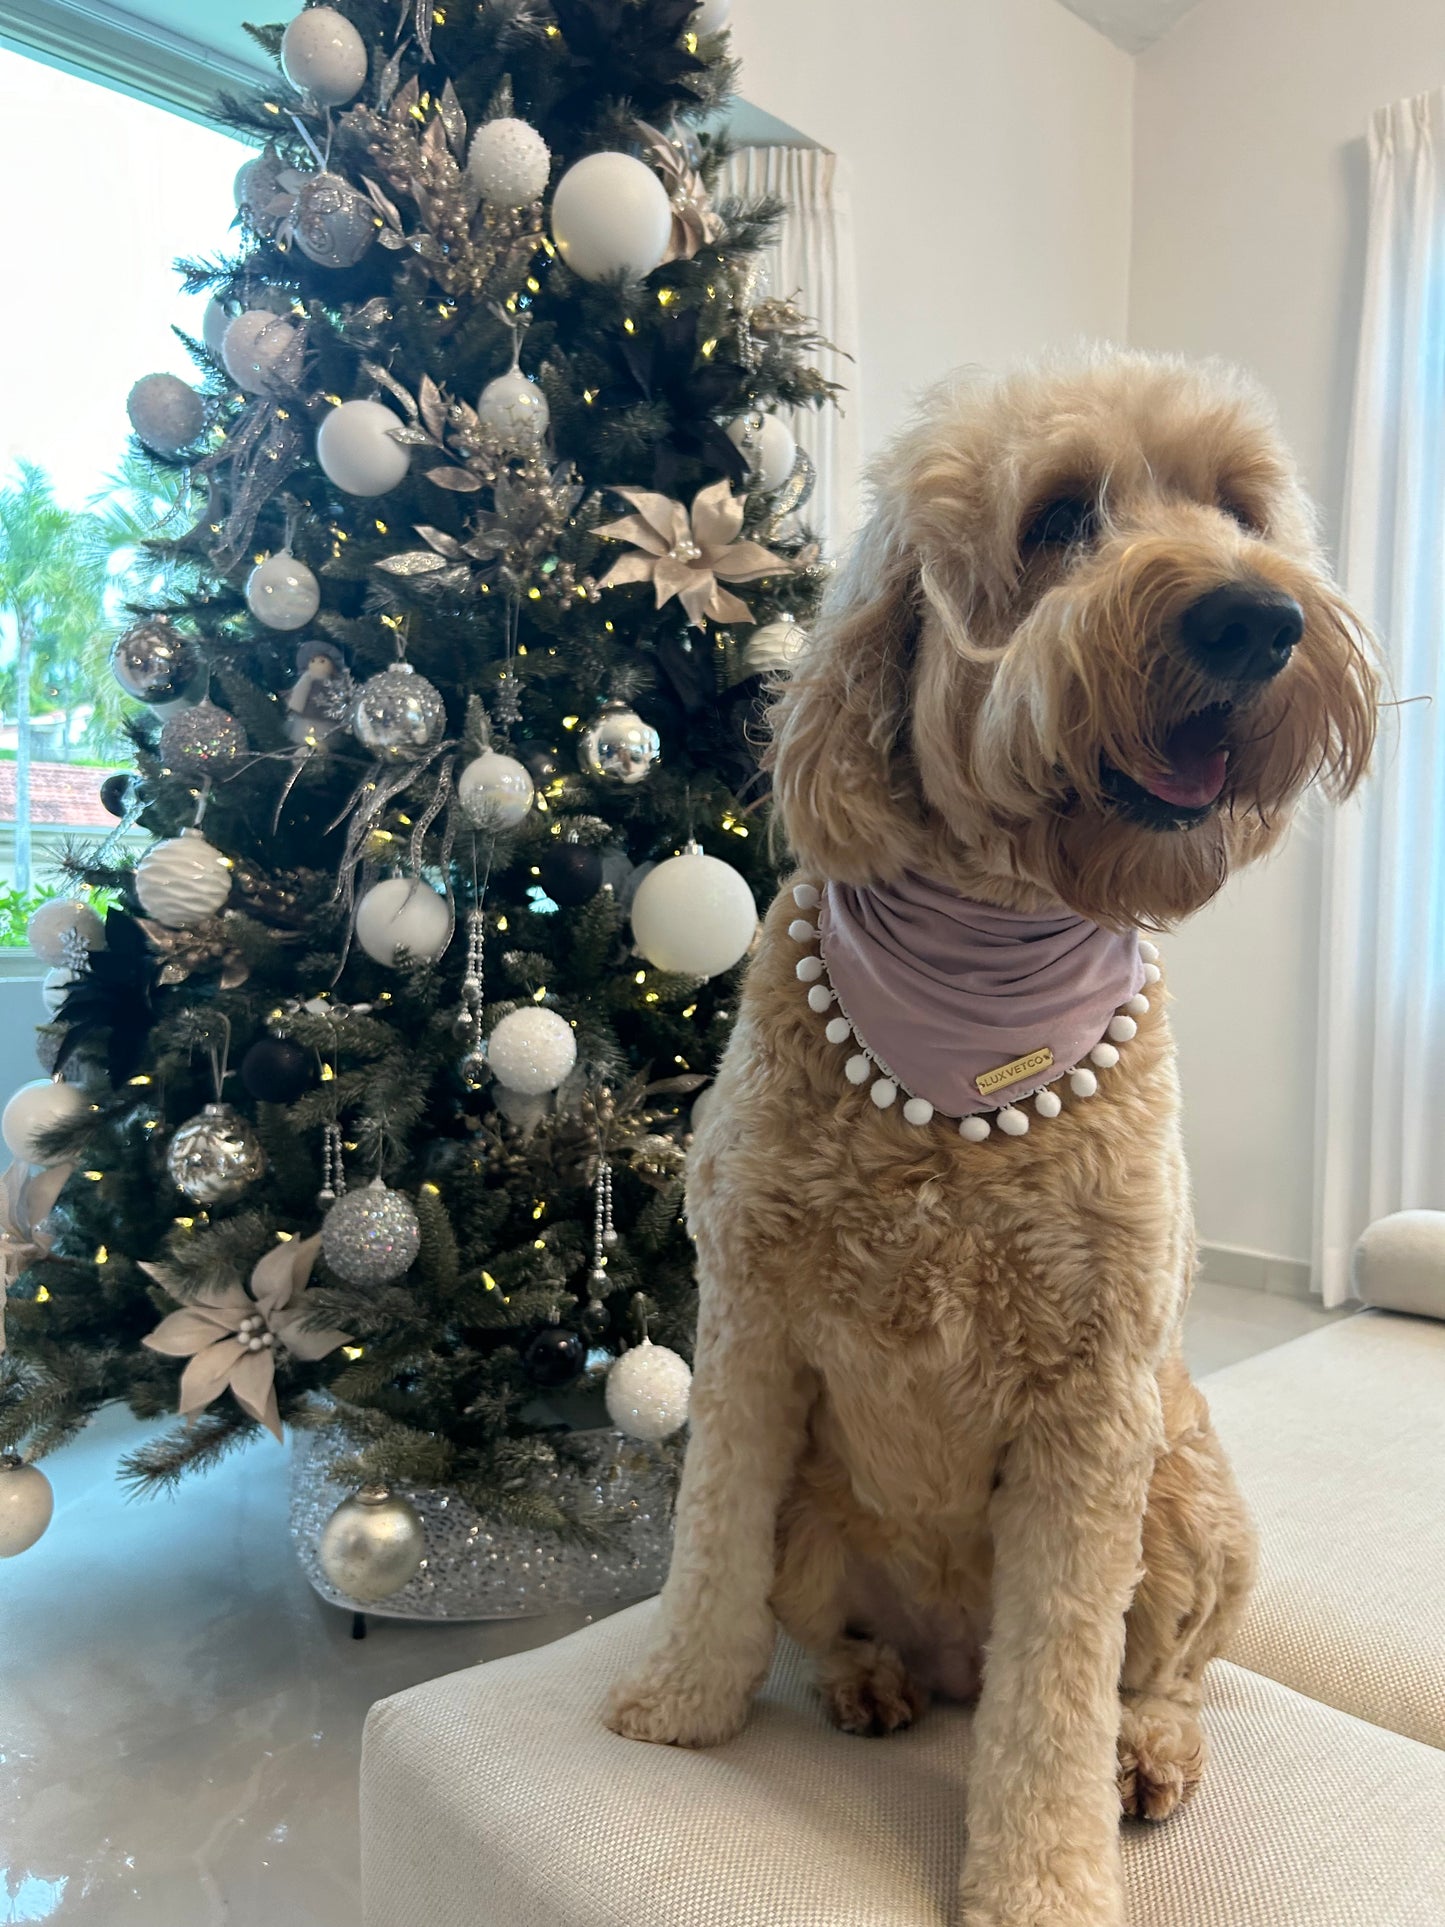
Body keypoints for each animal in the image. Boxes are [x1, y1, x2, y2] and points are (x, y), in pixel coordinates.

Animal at [601, 350, 1379, 1927]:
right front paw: (677, 1706)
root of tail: (955, 1649)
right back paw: (866, 1679)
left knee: (1164, 1670)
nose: (1256, 617)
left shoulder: (1094, 1400)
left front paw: (1041, 1877)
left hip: (1186, 1496)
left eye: (1239, 508)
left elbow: (1058, 1687)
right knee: (827, 1615)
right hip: (822, 1514)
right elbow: (703, 1541)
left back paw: (1144, 1750)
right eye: (1059, 517)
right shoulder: (746, 1322)